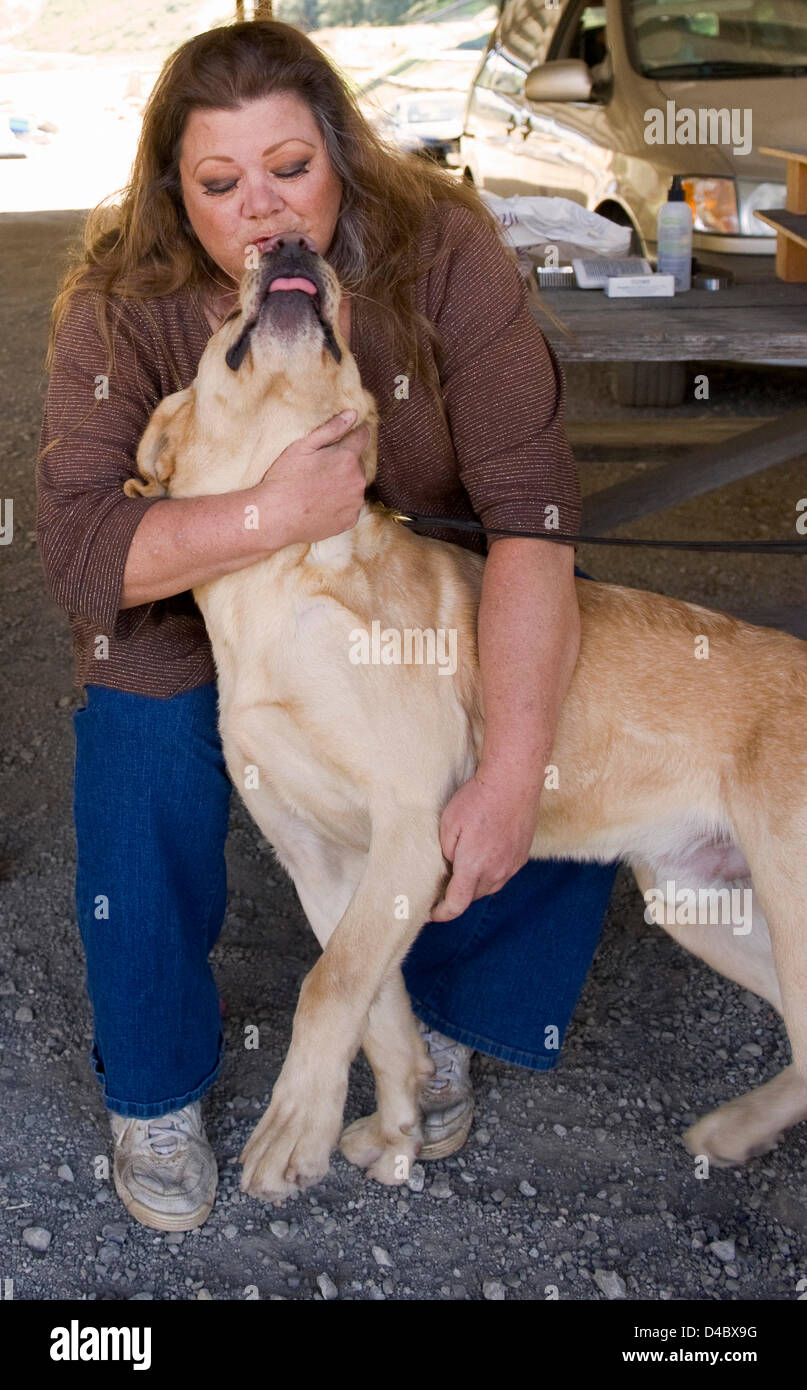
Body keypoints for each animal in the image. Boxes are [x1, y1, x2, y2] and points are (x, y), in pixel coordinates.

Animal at [124, 230, 805, 1206]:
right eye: (224, 321)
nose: (289, 241)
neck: (284, 573)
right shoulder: (326, 864)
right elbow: (376, 1007)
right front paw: (398, 1123)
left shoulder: (413, 829)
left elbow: (328, 987)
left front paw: (295, 1131)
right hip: (699, 903)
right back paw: (740, 1128)